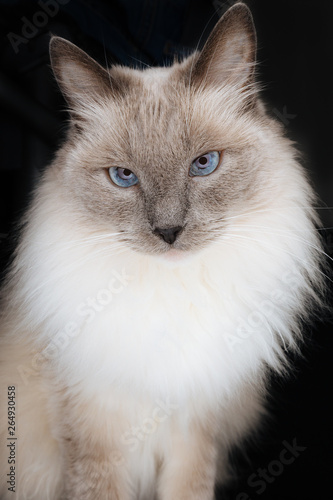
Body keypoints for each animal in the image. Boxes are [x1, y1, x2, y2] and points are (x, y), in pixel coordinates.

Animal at [0, 3, 324, 500]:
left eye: (204, 165)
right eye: (123, 177)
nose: (169, 232)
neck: (171, 295)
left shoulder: (198, 428)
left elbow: (189, 488)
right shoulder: (96, 435)